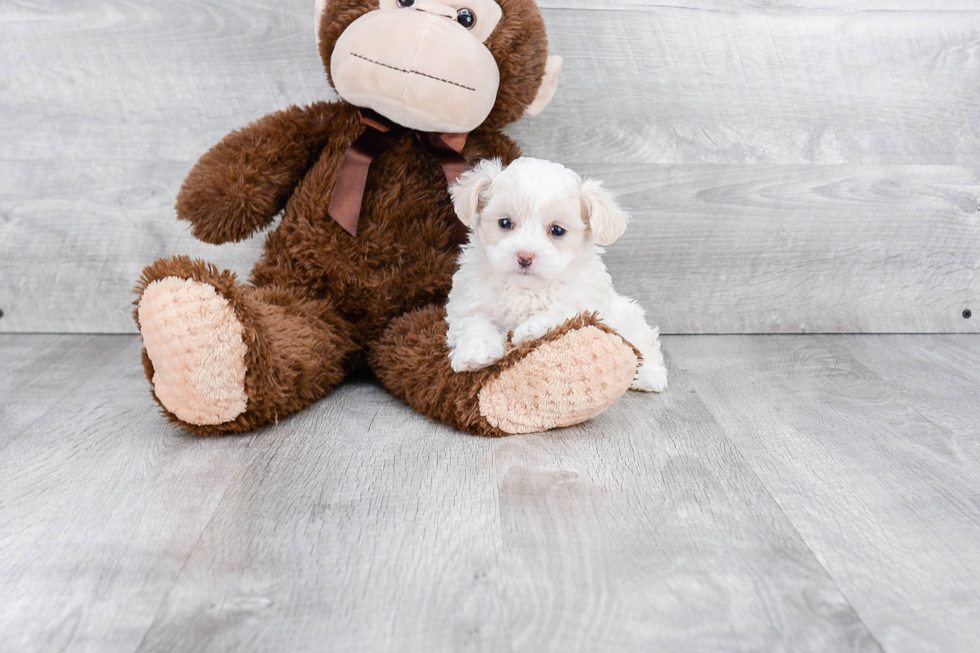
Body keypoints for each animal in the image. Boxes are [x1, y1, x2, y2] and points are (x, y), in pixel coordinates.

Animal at [448, 157, 668, 392]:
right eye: (505, 223)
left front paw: (530, 329)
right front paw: (477, 353)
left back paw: (649, 375)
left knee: (645, 343)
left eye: (557, 230)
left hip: (630, 318)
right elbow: (474, 322)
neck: (525, 288)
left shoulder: (584, 302)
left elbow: (562, 312)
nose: (525, 256)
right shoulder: (470, 300)